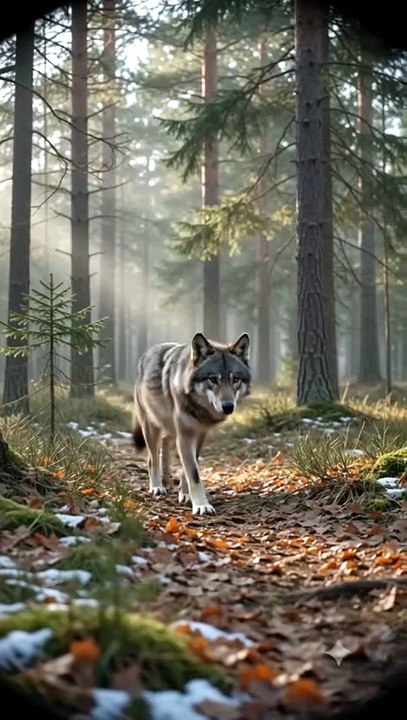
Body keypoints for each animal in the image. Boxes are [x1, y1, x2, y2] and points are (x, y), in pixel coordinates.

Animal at [132, 332, 252, 515]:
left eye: (235, 379)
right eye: (213, 379)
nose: (228, 406)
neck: (199, 409)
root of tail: (146, 354)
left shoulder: (200, 434)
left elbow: (186, 469)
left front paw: (185, 495)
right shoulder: (185, 435)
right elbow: (193, 473)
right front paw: (202, 505)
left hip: (170, 430)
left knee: (165, 444)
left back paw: (167, 479)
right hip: (152, 428)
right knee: (153, 459)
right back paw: (157, 487)